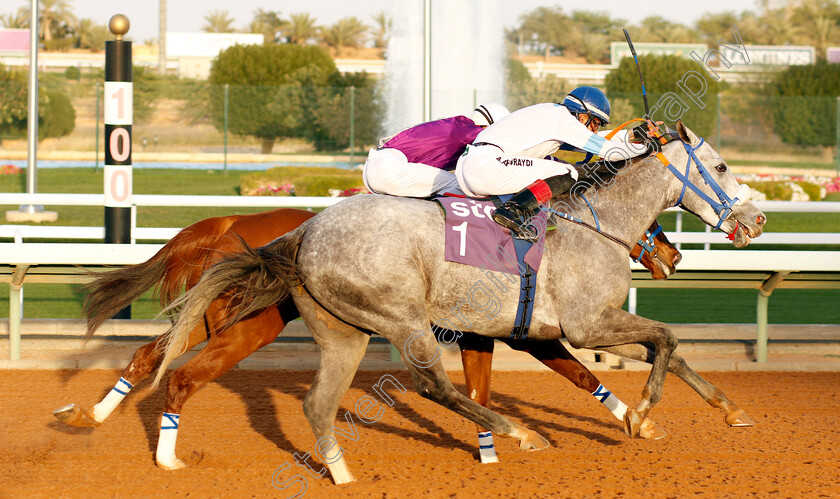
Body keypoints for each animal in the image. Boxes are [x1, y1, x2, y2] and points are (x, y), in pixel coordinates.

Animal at [54, 206, 684, 468]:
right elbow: (572, 369)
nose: (672, 254)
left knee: (151, 355)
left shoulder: (493, 328)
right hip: (249, 320)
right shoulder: (523, 330)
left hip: (222, 314)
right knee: (180, 372)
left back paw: (90, 416)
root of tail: (229, 223)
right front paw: (637, 417)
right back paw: (163, 452)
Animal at [154, 121, 764, 484]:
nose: (756, 219)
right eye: (722, 166)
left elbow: (667, 349)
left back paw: (343, 474)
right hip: (402, 317)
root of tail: (305, 231)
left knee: (318, 403)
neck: (596, 225)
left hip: (343, 332)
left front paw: (729, 410)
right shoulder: (586, 324)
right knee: (433, 386)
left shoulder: (582, 327)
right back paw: (522, 432)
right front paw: (642, 411)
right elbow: (666, 336)